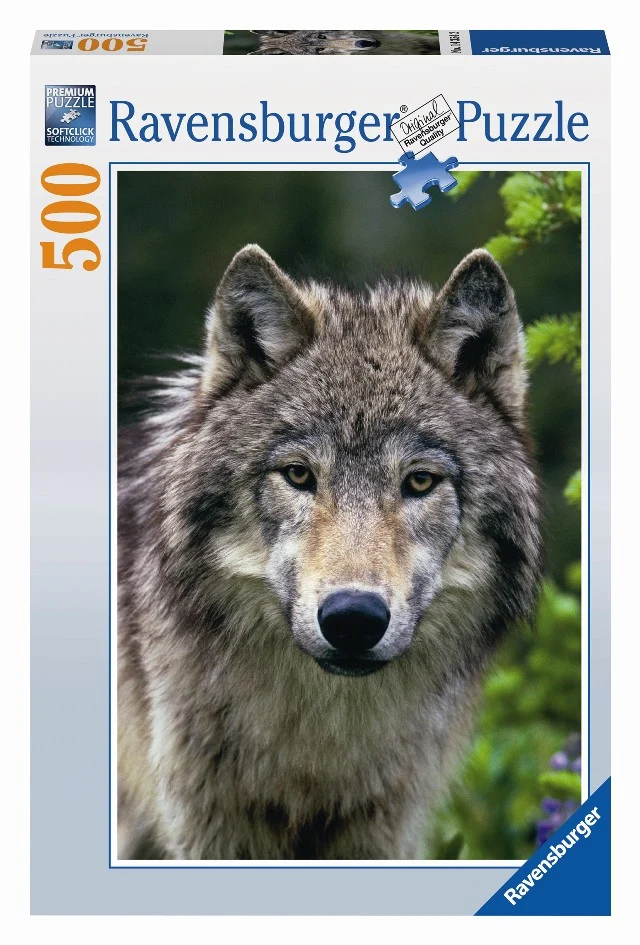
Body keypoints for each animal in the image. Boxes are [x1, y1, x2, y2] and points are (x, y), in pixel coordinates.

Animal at [118, 244, 542, 860]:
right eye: (299, 475)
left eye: (419, 481)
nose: (353, 618)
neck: (318, 749)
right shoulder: (210, 830)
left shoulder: (382, 830)